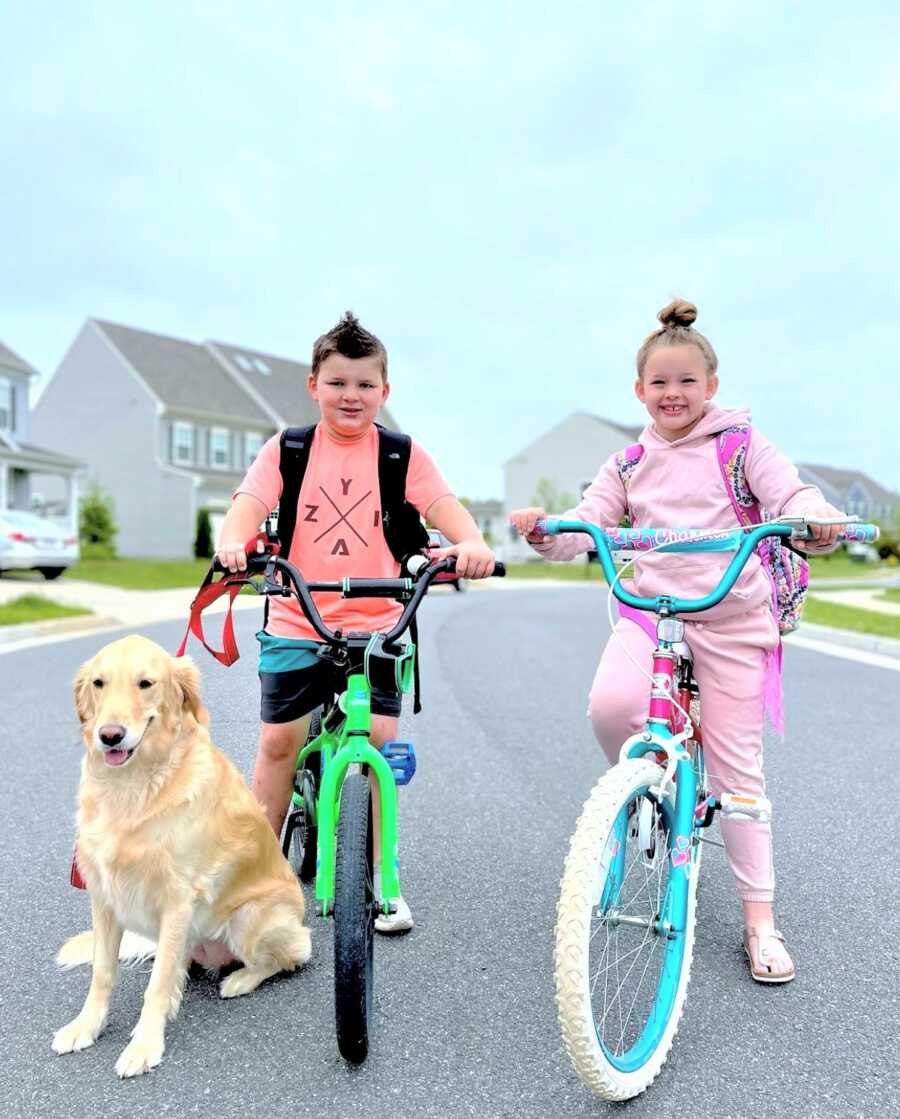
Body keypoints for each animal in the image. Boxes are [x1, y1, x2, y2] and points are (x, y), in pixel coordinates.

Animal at [53, 635, 313, 1069]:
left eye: (145, 683)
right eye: (99, 683)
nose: (110, 736)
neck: (131, 788)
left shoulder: (177, 898)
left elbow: (156, 987)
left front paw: (144, 1046)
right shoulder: (104, 897)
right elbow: (103, 973)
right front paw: (85, 1026)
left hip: (250, 918)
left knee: (292, 954)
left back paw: (240, 979)